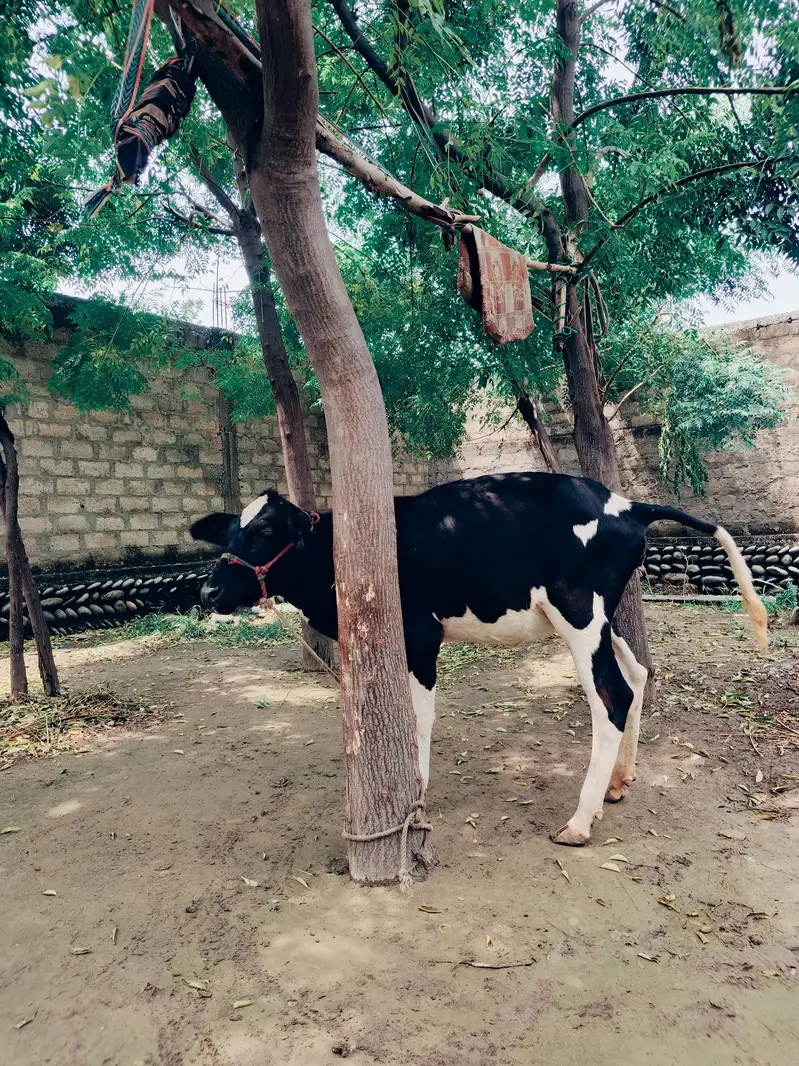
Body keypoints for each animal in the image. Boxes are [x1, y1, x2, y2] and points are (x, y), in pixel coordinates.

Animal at [190, 472, 767, 846]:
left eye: (265, 532)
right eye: (229, 532)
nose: (207, 590)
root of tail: (626, 504)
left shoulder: (421, 636)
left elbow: (420, 717)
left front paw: (417, 793)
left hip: (579, 613)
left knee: (613, 696)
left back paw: (580, 821)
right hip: (604, 616)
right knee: (639, 672)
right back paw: (619, 783)